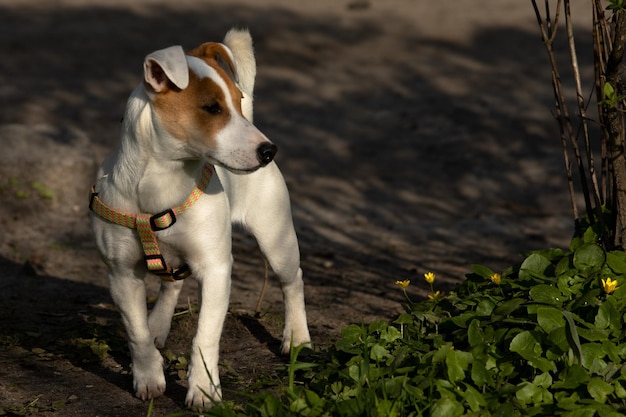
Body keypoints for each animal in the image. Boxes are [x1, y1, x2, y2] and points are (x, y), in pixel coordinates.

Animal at [88, 29, 310, 410]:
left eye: (238, 101)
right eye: (212, 107)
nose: (269, 150)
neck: (160, 184)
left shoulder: (216, 269)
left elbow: (205, 335)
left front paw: (204, 389)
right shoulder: (121, 275)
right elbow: (136, 332)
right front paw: (148, 376)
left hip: (276, 239)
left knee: (292, 281)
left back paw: (296, 336)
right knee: (171, 285)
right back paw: (159, 325)